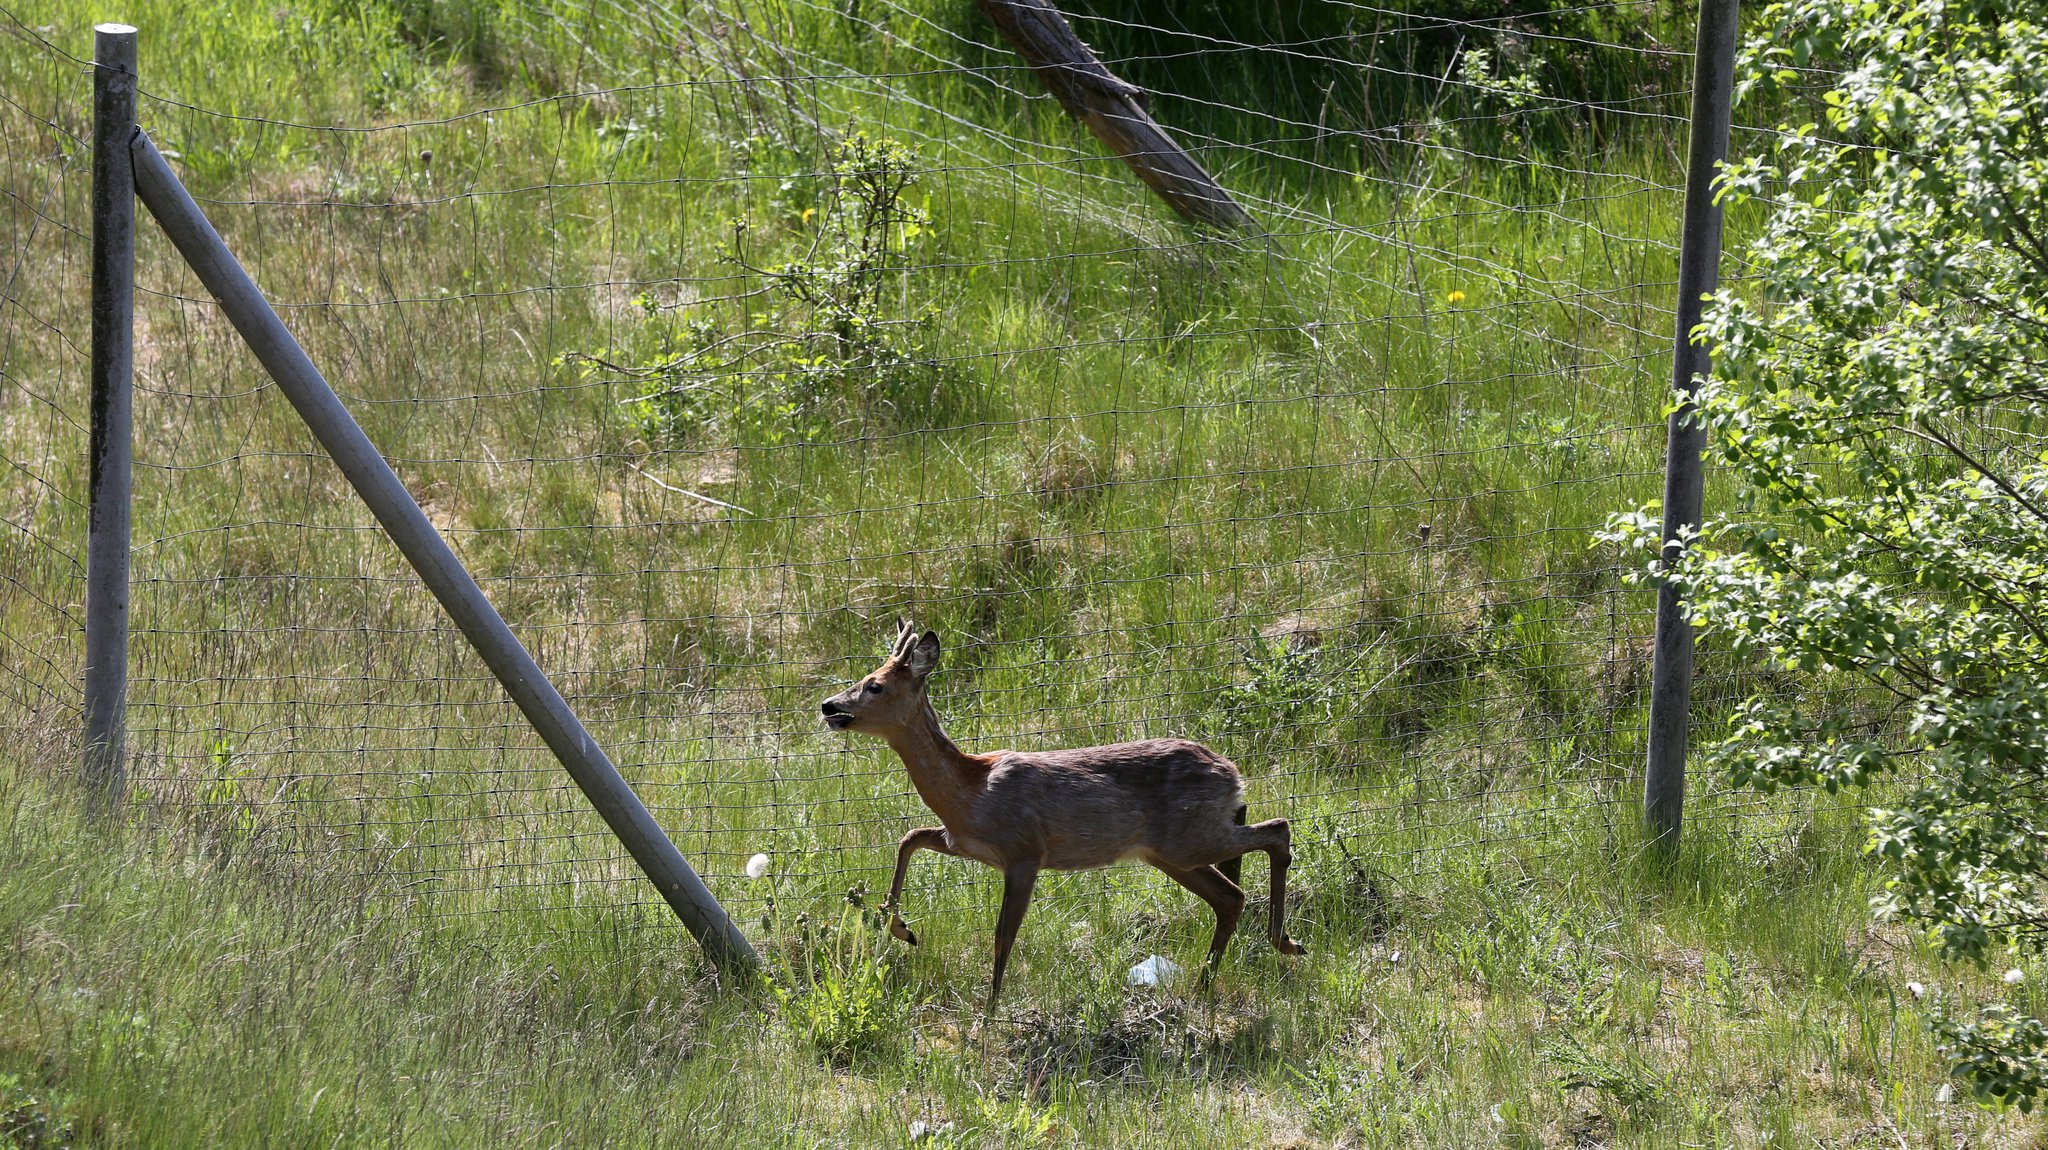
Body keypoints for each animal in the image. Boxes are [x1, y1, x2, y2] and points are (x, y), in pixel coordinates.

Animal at [811, 617, 1294, 1002]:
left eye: (874, 684)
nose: (829, 706)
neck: (972, 790)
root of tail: (1232, 772)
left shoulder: (1025, 851)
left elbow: (1003, 935)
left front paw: (989, 1013)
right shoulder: (963, 841)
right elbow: (908, 838)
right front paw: (902, 929)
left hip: (1187, 840)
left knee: (1277, 829)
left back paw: (1283, 943)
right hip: (1169, 853)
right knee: (1230, 895)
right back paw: (1206, 985)